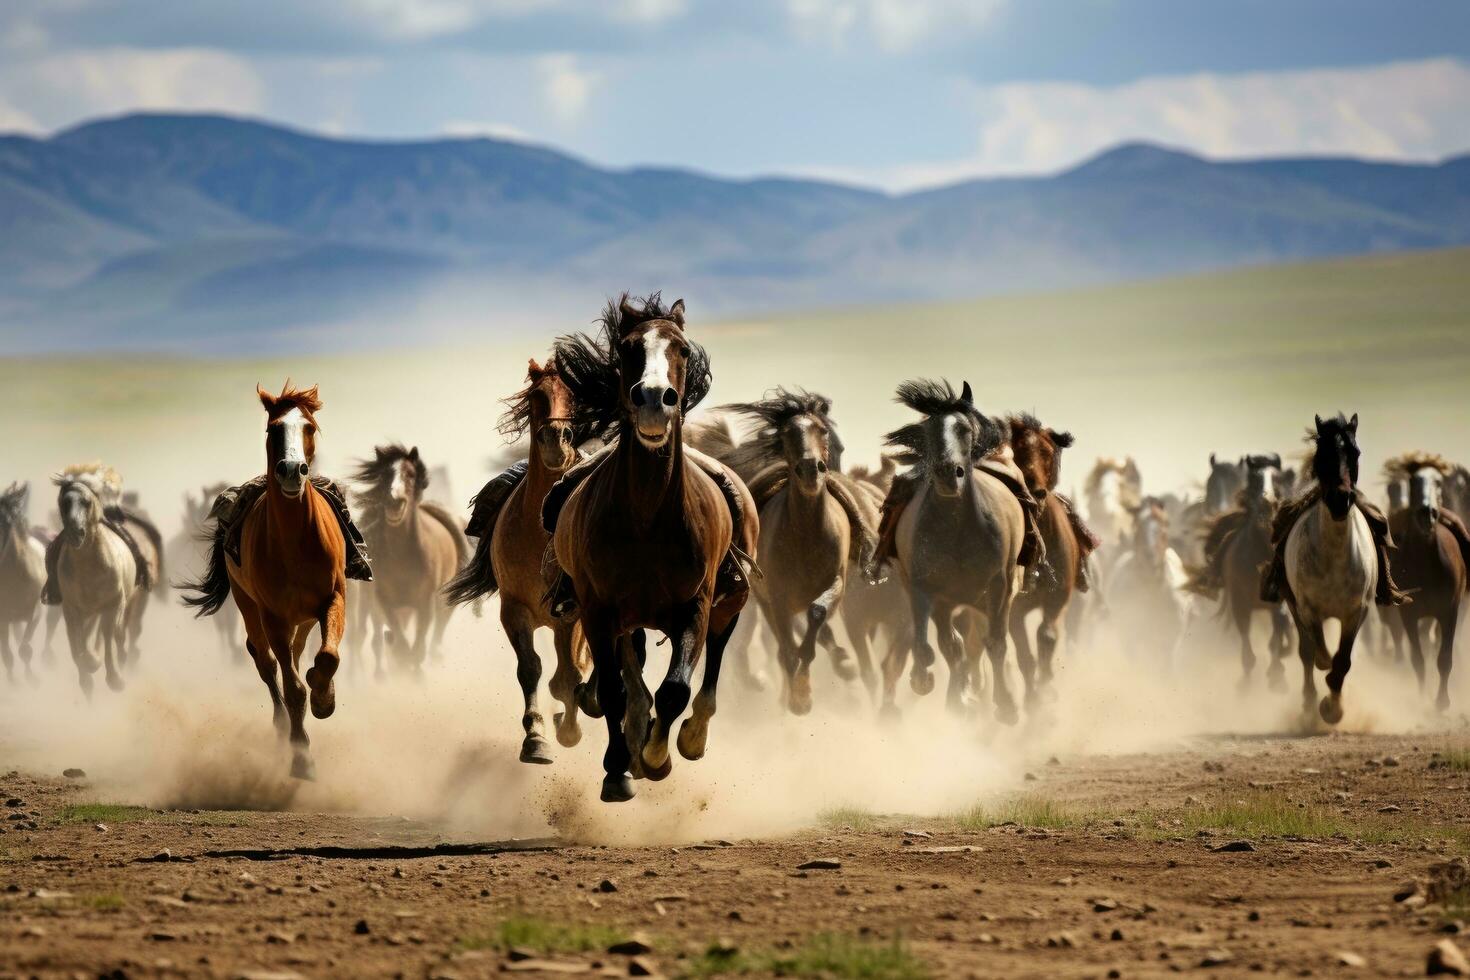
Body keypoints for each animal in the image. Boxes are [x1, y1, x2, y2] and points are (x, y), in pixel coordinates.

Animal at [183, 387, 367, 775]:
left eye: (308, 426)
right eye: (273, 428)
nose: (291, 471)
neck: (294, 542)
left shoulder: (333, 600)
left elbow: (327, 657)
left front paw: (324, 699)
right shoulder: (273, 616)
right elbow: (291, 686)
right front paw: (302, 756)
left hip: (304, 619)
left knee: (296, 655)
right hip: (248, 606)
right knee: (267, 664)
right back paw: (283, 727)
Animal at [349, 443, 464, 675]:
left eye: (410, 474)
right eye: (384, 474)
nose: (394, 501)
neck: (402, 558)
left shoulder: (425, 602)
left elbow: (417, 647)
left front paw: (416, 673)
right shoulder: (385, 602)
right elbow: (400, 645)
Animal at [441, 359, 590, 764]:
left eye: (575, 394)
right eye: (538, 396)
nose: (556, 440)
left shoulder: (570, 615)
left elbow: (569, 674)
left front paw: (568, 732)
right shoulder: (514, 609)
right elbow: (531, 669)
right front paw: (536, 739)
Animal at [549, 293, 758, 805]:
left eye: (681, 348)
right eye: (627, 348)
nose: (653, 401)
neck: (646, 517)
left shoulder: (696, 606)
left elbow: (675, 689)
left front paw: (657, 756)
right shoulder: (599, 610)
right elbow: (615, 691)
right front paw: (619, 769)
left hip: (730, 604)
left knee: (712, 663)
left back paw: (692, 736)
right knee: (631, 674)